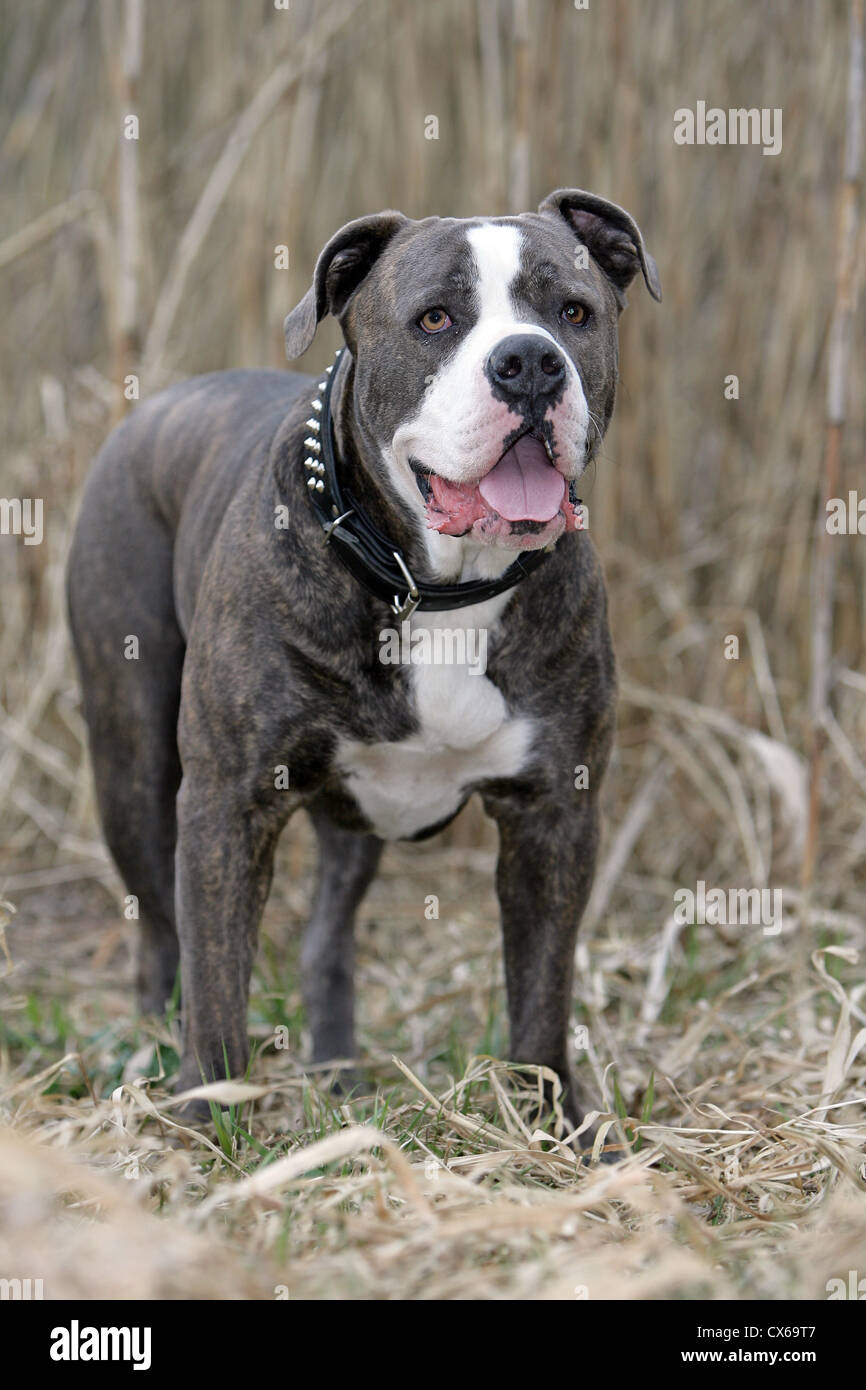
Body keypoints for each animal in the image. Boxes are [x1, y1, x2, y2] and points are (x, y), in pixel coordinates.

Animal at [66, 184, 664, 1134]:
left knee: (324, 939)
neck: (439, 589)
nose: (530, 364)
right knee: (162, 936)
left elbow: (543, 990)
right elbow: (218, 974)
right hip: (132, 764)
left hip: (355, 816)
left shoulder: (553, 815)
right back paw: (158, 1054)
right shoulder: (228, 801)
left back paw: (339, 1075)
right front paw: (210, 1115)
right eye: (434, 319)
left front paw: (555, 1130)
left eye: (574, 313)